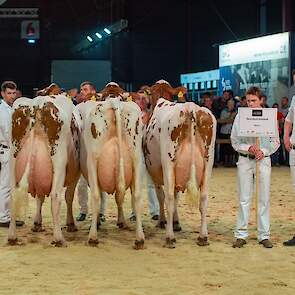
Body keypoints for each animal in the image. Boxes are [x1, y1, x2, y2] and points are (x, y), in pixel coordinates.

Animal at [8, 95, 80, 247]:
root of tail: (37, 104)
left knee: (12, 195)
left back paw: (12, 237)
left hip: (13, 159)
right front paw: (71, 223)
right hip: (59, 162)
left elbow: (39, 197)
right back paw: (59, 238)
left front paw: (37, 223)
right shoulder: (76, 173)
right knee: (55, 197)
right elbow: (69, 196)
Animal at [77, 89, 145, 250]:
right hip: (137, 158)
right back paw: (139, 238)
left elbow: (102, 196)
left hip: (92, 160)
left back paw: (92, 237)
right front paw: (121, 221)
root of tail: (113, 102)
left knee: (96, 196)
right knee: (136, 196)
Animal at [144, 80, 217, 249]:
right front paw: (176, 222)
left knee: (169, 197)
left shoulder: (154, 170)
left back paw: (169, 237)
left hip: (168, 162)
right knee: (204, 198)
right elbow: (177, 195)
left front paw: (163, 221)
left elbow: (161, 196)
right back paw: (203, 237)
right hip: (208, 162)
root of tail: (191, 108)